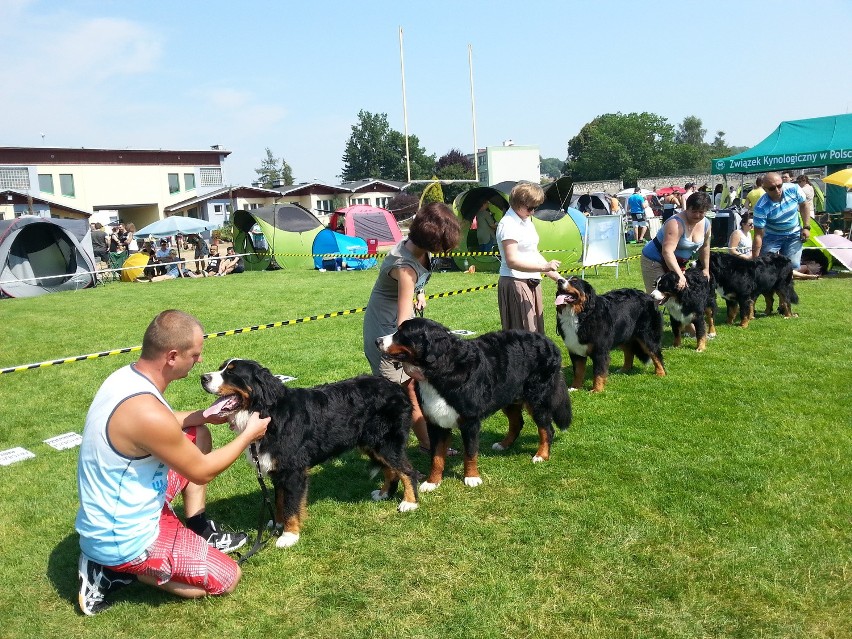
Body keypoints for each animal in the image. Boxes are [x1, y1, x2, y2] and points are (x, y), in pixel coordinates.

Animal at [204, 360, 422, 552]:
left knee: (408, 471)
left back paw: (409, 503)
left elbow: (291, 505)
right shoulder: (278, 470)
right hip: (372, 444)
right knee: (391, 470)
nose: (203, 377)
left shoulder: (292, 471)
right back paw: (385, 493)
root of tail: (396, 387)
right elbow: (280, 500)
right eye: (221, 368)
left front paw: (289, 536)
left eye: (231, 372)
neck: (268, 412)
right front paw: (278, 524)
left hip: (386, 444)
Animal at [374, 318, 568, 492]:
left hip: (537, 398)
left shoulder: (470, 421)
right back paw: (503, 444)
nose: (377, 341)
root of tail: (549, 342)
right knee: (517, 423)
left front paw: (472, 477)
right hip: (508, 396)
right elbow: (436, 457)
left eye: (402, 334)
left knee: (546, 429)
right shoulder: (436, 423)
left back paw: (541, 455)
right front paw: (432, 482)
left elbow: (470, 453)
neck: (440, 370)